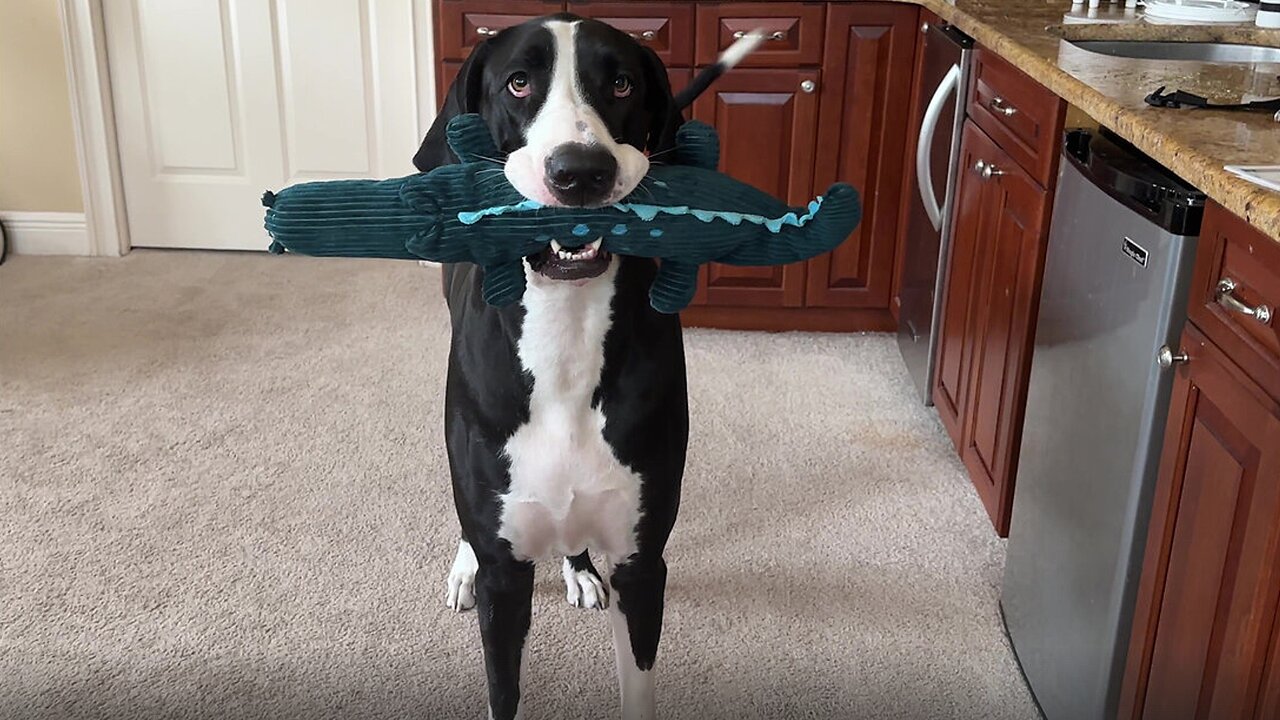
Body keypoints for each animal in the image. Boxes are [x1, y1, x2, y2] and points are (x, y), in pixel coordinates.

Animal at [414, 16, 762, 717]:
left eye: (622, 83)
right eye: (519, 82)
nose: (580, 172)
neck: (566, 331)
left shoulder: (642, 562)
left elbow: (639, 685)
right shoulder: (505, 578)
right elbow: (502, 688)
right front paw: (470, 567)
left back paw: (577, 569)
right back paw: (464, 565)